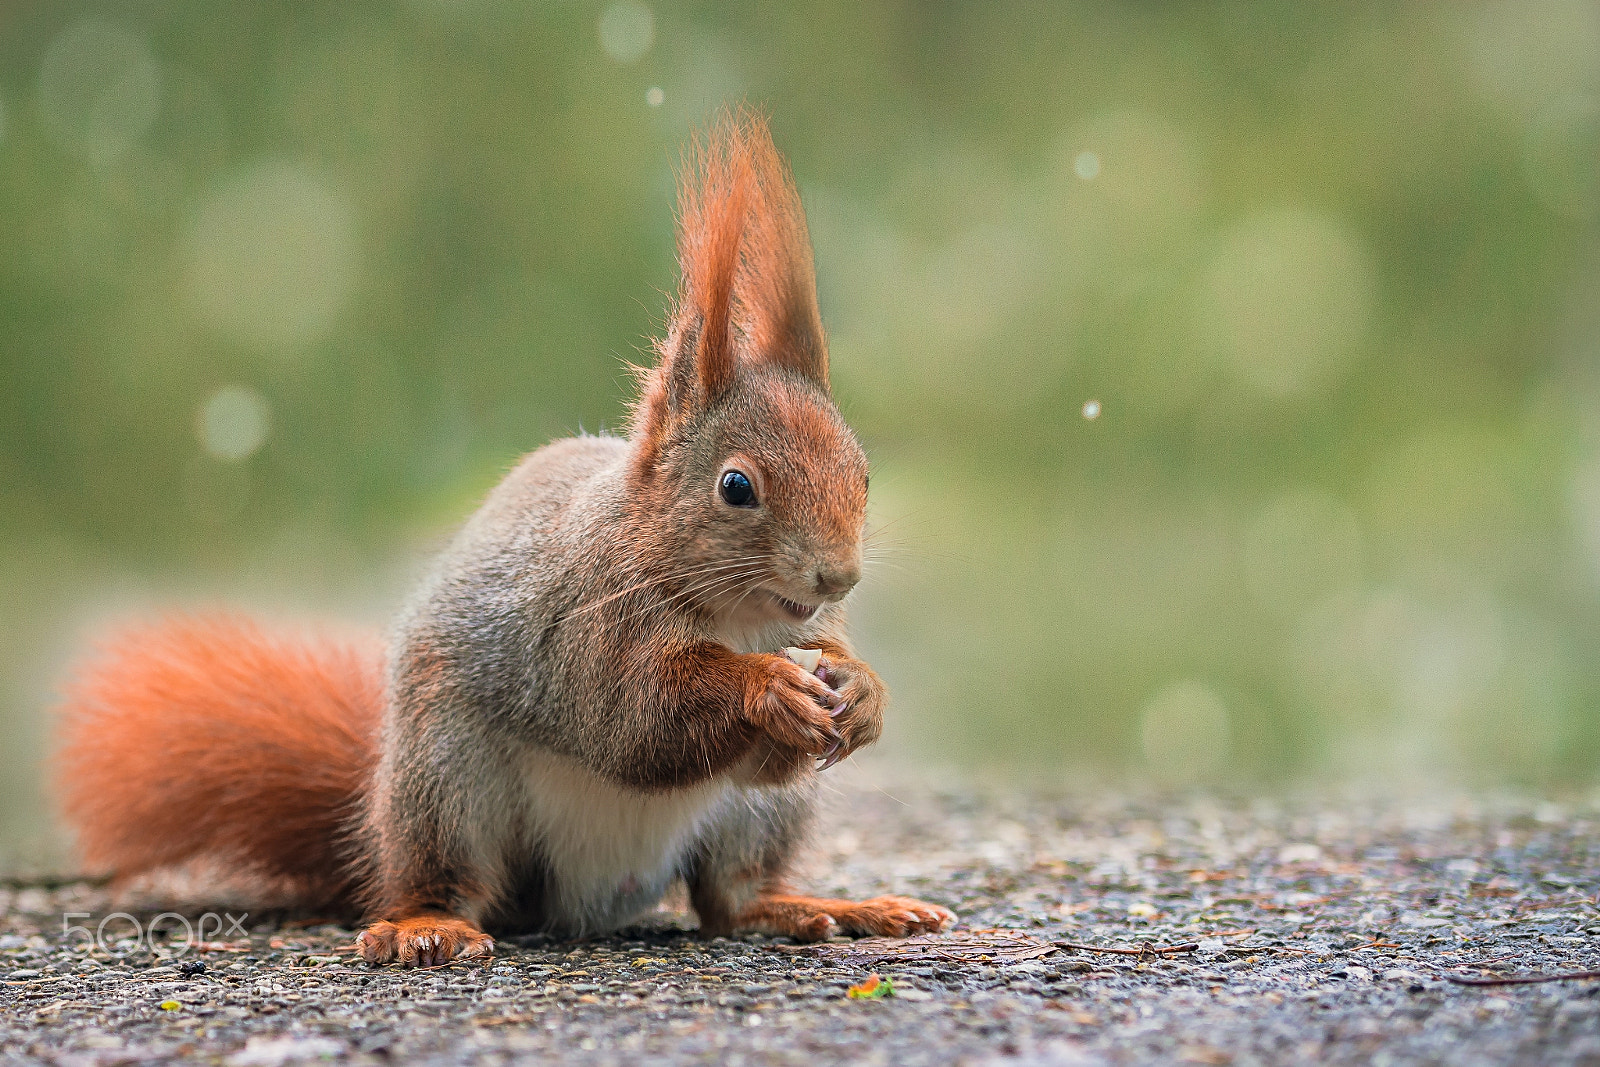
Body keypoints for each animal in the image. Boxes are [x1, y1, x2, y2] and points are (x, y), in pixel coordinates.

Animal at [53, 112, 955, 966]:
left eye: (863, 475)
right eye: (737, 488)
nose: (838, 577)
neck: (730, 612)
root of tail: (590, 897)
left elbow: (774, 732)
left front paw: (864, 693)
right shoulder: (582, 626)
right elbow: (633, 720)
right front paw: (765, 686)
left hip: (757, 816)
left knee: (730, 898)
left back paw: (823, 906)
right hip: (450, 779)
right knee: (454, 879)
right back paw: (426, 925)